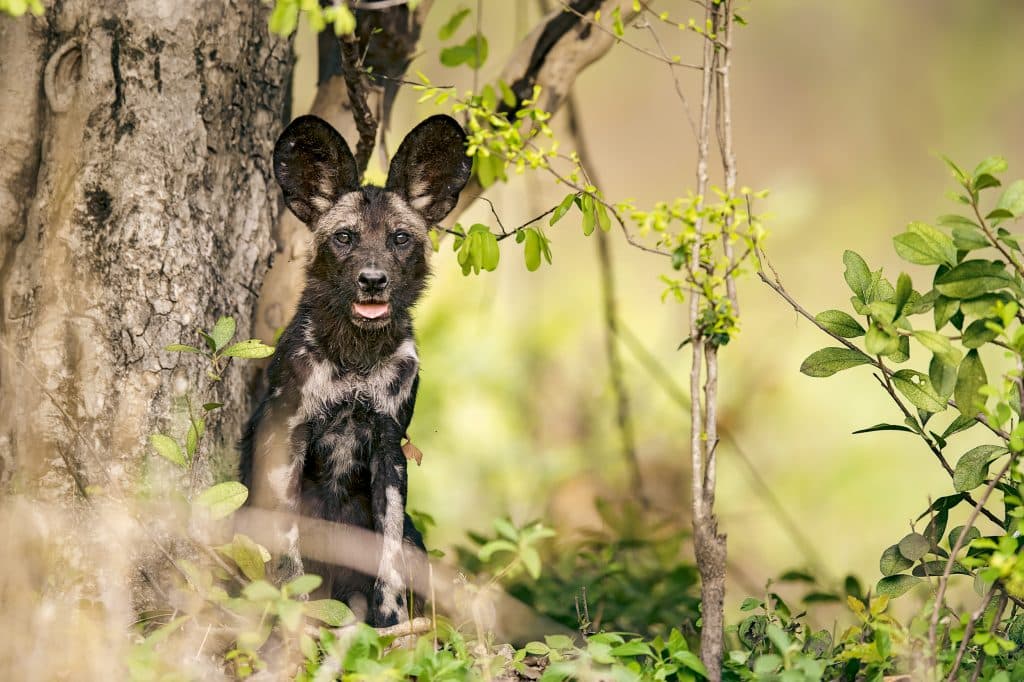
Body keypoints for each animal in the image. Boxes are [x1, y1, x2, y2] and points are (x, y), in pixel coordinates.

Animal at [241, 114, 473, 622]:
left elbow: (389, 556)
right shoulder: (289, 439)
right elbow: (288, 555)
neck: (356, 357)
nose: (372, 280)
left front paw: (388, 624)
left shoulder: (389, 449)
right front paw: (295, 619)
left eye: (400, 238)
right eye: (344, 237)